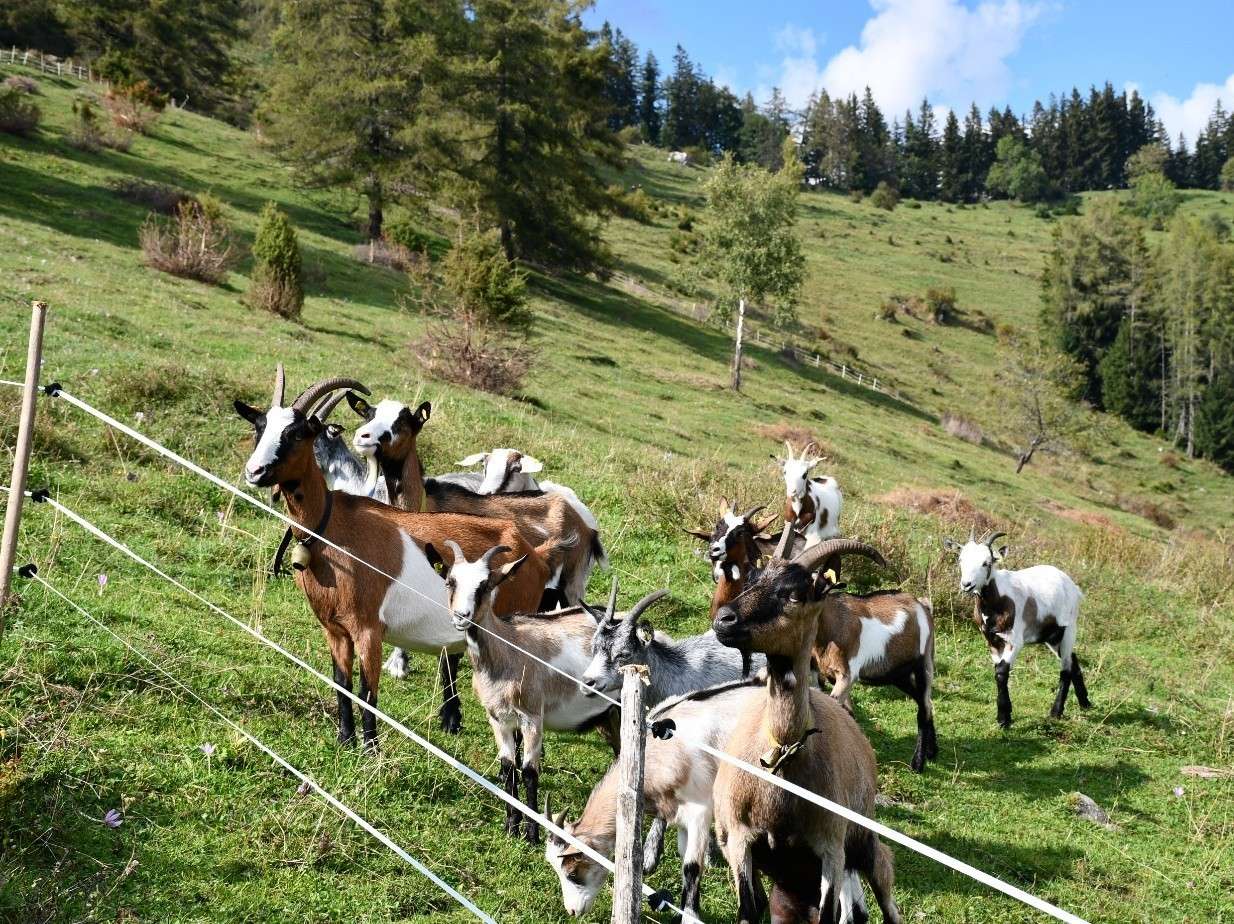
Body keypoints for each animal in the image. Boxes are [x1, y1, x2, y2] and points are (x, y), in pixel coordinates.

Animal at [233, 366, 555, 746]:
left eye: (297, 432)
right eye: (260, 426)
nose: (255, 472)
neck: (332, 526)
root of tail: (533, 553)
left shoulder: (369, 629)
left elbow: (367, 692)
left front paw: (370, 749)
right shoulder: (335, 630)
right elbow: (342, 685)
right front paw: (345, 740)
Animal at [442, 543, 667, 844]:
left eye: (485, 584)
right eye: (451, 581)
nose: (461, 617)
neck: (509, 649)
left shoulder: (532, 718)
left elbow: (528, 772)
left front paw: (532, 834)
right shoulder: (498, 719)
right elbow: (507, 768)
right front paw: (510, 827)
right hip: (611, 714)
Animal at [711, 529, 901, 924]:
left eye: (794, 594)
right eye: (753, 578)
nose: (725, 620)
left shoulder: (830, 850)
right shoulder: (738, 842)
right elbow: (748, 910)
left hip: (863, 843)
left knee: (888, 899)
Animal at [943, 529, 1090, 728]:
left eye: (986, 563)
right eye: (960, 559)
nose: (967, 584)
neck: (997, 601)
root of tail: (1073, 587)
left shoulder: (1014, 641)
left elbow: (1001, 672)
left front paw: (1004, 718)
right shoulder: (992, 640)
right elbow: (997, 670)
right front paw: (1005, 715)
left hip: (1069, 629)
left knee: (1066, 667)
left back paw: (1056, 712)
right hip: (1052, 637)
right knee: (1073, 659)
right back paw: (1085, 702)